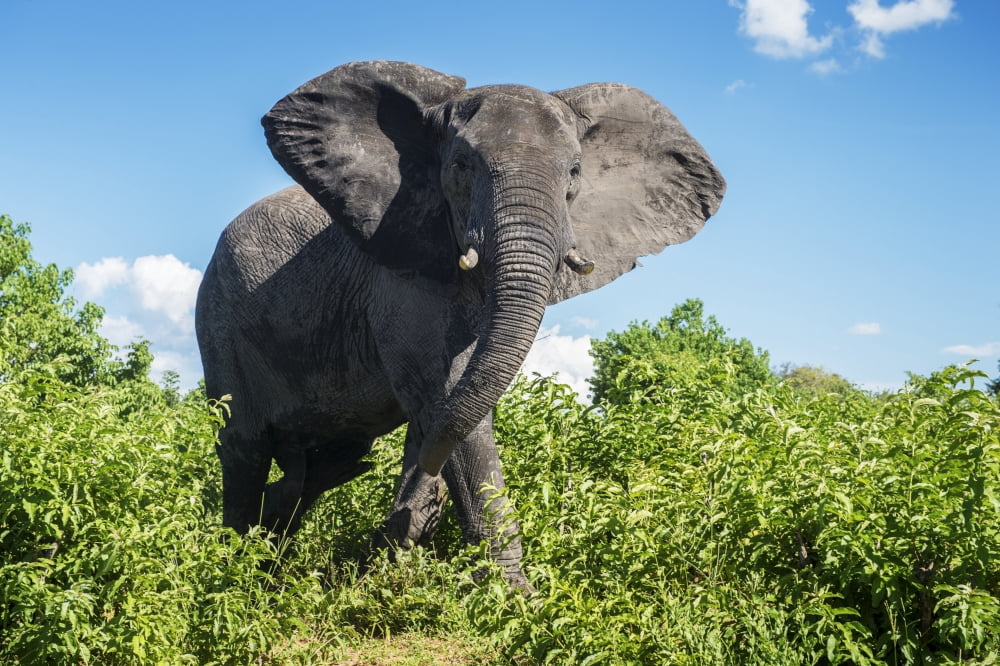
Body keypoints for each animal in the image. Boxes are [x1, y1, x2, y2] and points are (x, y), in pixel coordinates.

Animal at [195, 61, 725, 586]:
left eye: (575, 172)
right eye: (461, 167)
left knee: (320, 464)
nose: (399, 518)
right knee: (244, 447)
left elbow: (451, 406)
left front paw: (406, 537)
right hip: (217, 319)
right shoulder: (401, 279)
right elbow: (446, 403)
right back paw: (234, 570)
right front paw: (515, 598)